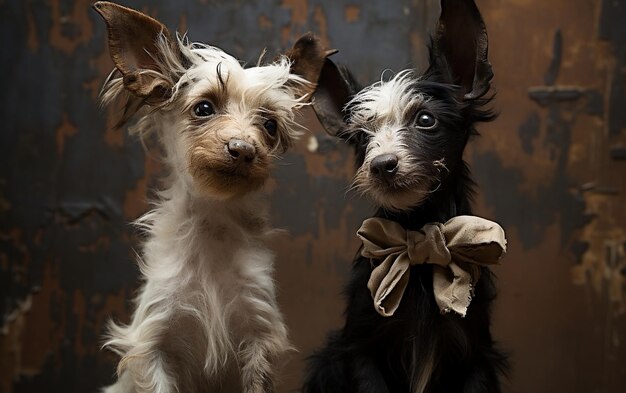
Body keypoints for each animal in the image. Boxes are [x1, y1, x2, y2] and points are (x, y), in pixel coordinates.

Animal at [302, 0, 508, 392]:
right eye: (361, 137)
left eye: (426, 120)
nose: (382, 165)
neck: (420, 236)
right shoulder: (362, 353)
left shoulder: (476, 359)